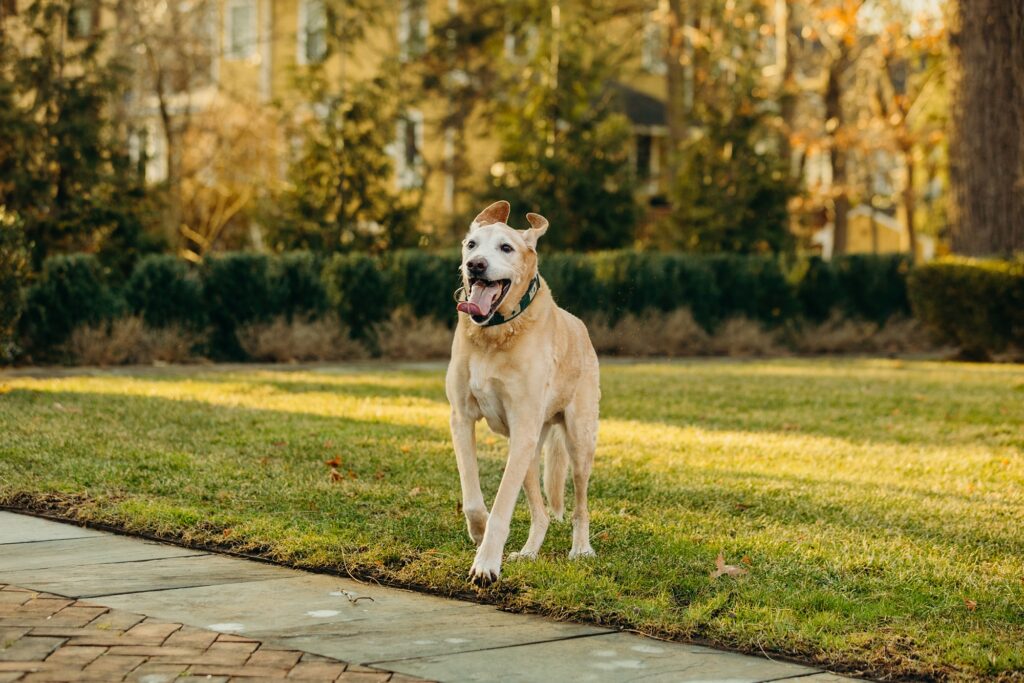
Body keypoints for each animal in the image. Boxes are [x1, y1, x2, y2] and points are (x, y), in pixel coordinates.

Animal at [442, 198, 598, 589]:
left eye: (506, 248)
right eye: (471, 245)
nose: (475, 265)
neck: (494, 332)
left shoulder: (524, 426)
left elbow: (502, 507)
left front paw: (486, 564)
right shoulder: (461, 418)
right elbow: (472, 497)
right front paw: (479, 530)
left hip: (578, 443)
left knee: (580, 505)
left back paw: (581, 549)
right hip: (527, 452)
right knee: (540, 513)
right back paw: (529, 552)